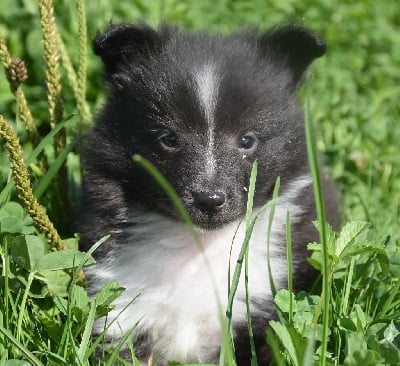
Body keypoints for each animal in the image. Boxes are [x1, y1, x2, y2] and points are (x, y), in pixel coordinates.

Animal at [79, 23, 336, 366]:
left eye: (247, 140)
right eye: (169, 138)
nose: (209, 200)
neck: (198, 246)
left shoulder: (263, 303)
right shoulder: (122, 307)